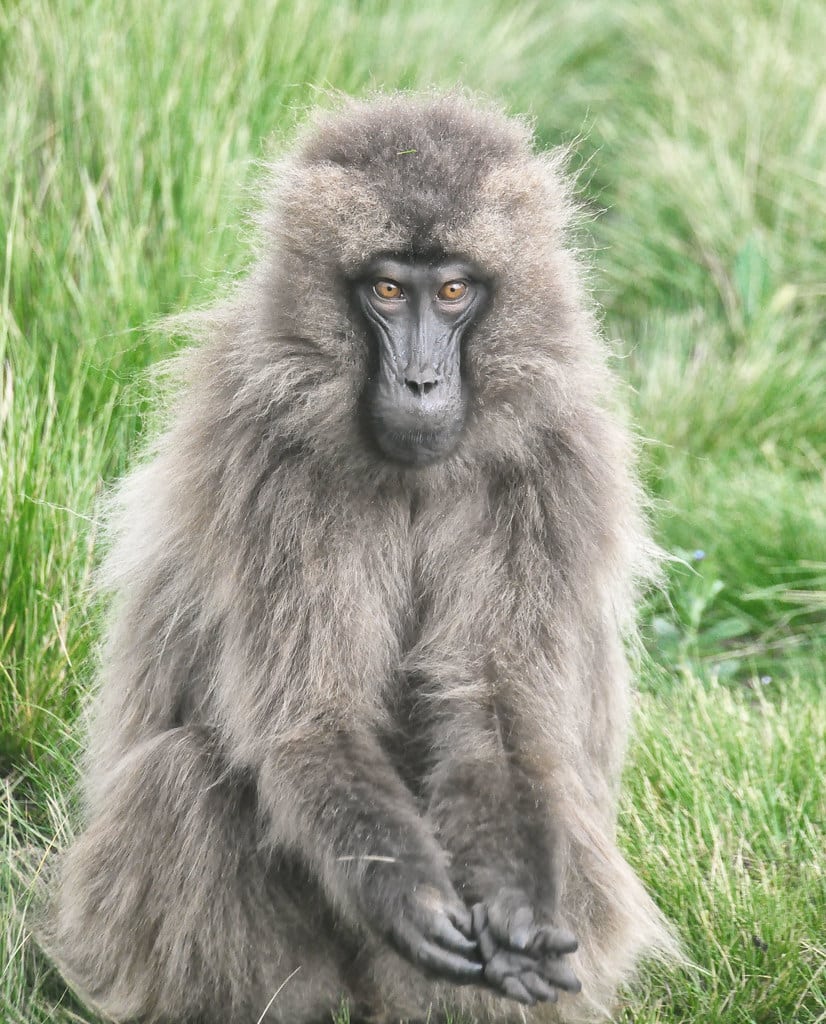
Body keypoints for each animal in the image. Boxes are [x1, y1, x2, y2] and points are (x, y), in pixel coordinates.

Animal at [38, 92, 676, 1024]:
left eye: (453, 291)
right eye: (386, 289)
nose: (420, 383)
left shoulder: (552, 468)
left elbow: (492, 706)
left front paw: (516, 905)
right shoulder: (263, 458)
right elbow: (313, 710)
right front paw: (405, 892)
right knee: (179, 778)